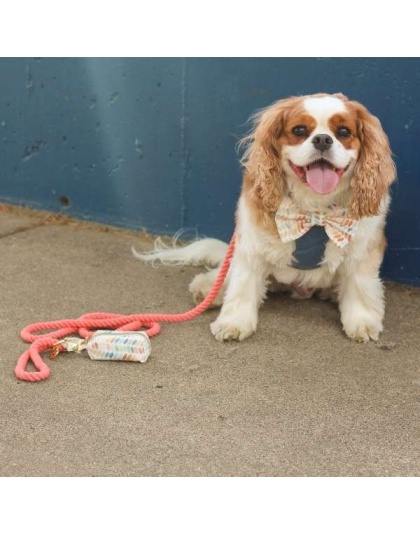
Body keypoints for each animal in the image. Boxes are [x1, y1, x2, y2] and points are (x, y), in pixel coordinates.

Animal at [135, 93, 398, 344]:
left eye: (343, 132)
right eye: (299, 130)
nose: (323, 139)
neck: (314, 212)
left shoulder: (362, 251)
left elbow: (360, 288)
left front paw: (362, 322)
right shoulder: (251, 245)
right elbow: (242, 285)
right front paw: (234, 323)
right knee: (226, 273)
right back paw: (209, 290)